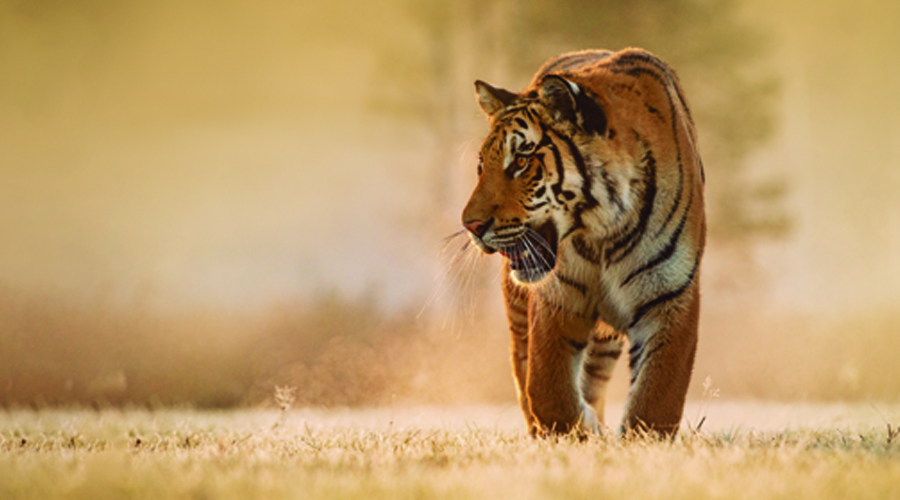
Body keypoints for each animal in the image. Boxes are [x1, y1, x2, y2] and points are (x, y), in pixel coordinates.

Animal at [461, 48, 706, 437]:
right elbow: (547, 392)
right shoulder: (557, 299)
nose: (470, 225)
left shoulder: (668, 296)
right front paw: (583, 430)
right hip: (519, 312)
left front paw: (635, 440)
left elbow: (656, 399)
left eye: (522, 161)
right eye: (482, 165)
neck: (603, 230)